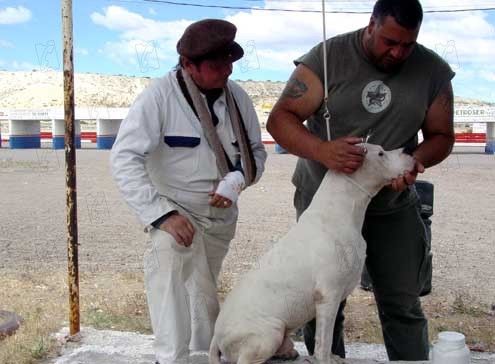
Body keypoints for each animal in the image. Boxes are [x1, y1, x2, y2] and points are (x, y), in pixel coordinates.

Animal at [211, 144, 416, 364]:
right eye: (380, 153)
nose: (409, 150)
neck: (341, 210)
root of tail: (216, 336)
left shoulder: (333, 297)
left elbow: (328, 335)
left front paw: (333, 357)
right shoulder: (328, 295)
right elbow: (324, 340)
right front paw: (325, 359)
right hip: (268, 333)